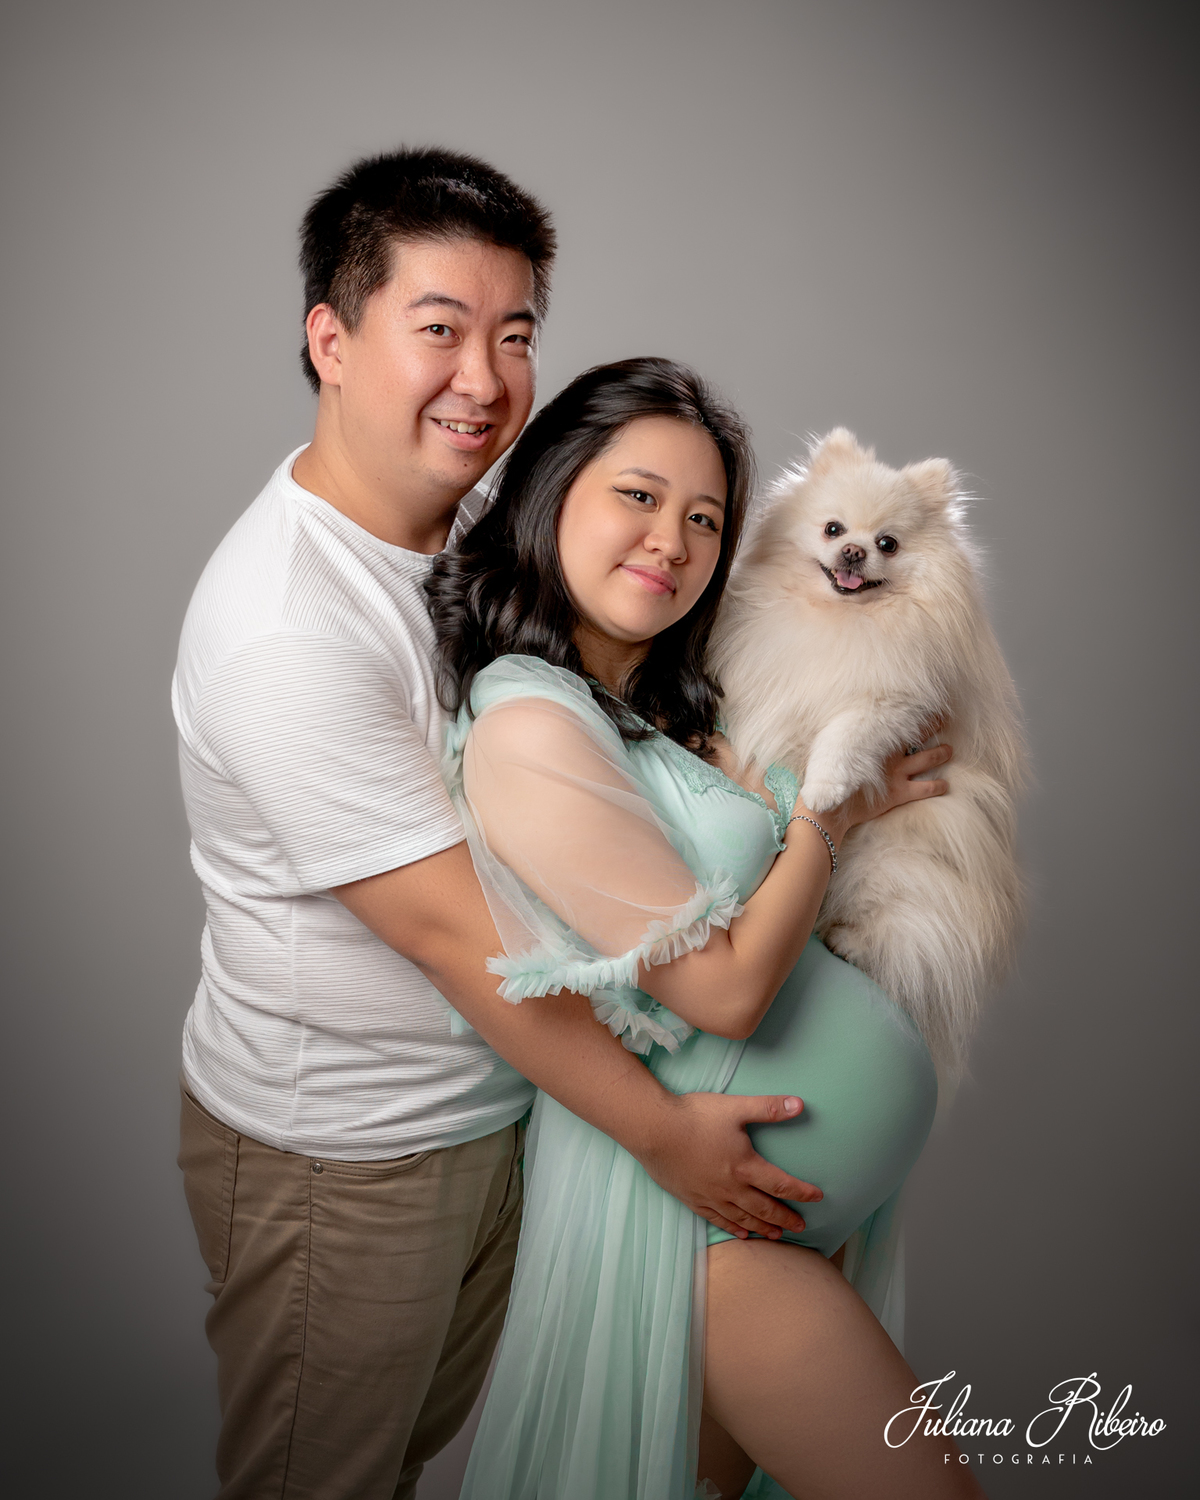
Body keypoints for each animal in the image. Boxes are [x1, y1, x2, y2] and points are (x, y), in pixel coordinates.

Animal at [711, 428, 1026, 1082]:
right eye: (834, 529)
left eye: (888, 544)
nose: (854, 553)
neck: (843, 621)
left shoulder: (898, 700)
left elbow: (849, 730)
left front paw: (825, 789)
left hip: (895, 863)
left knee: (906, 935)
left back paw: (846, 939)